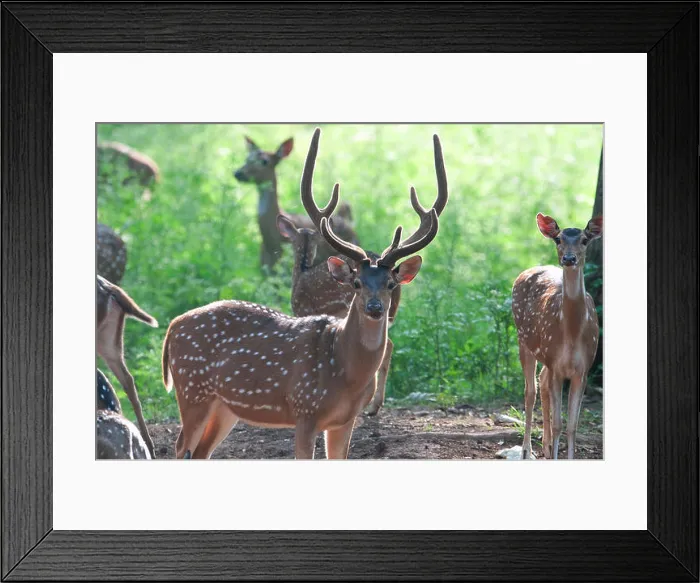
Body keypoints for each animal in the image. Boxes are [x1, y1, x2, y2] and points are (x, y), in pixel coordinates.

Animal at [512, 213, 603, 460]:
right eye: (558, 239)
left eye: (584, 240)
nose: (569, 258)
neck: (571, 333)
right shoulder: (556, 365)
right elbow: (558, 424)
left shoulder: (583, 369)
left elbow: (572, 425)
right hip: (524, 340)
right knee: (530, 390)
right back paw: (527, 449)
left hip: (546, 355)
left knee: (541, 381)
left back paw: (544, 446)